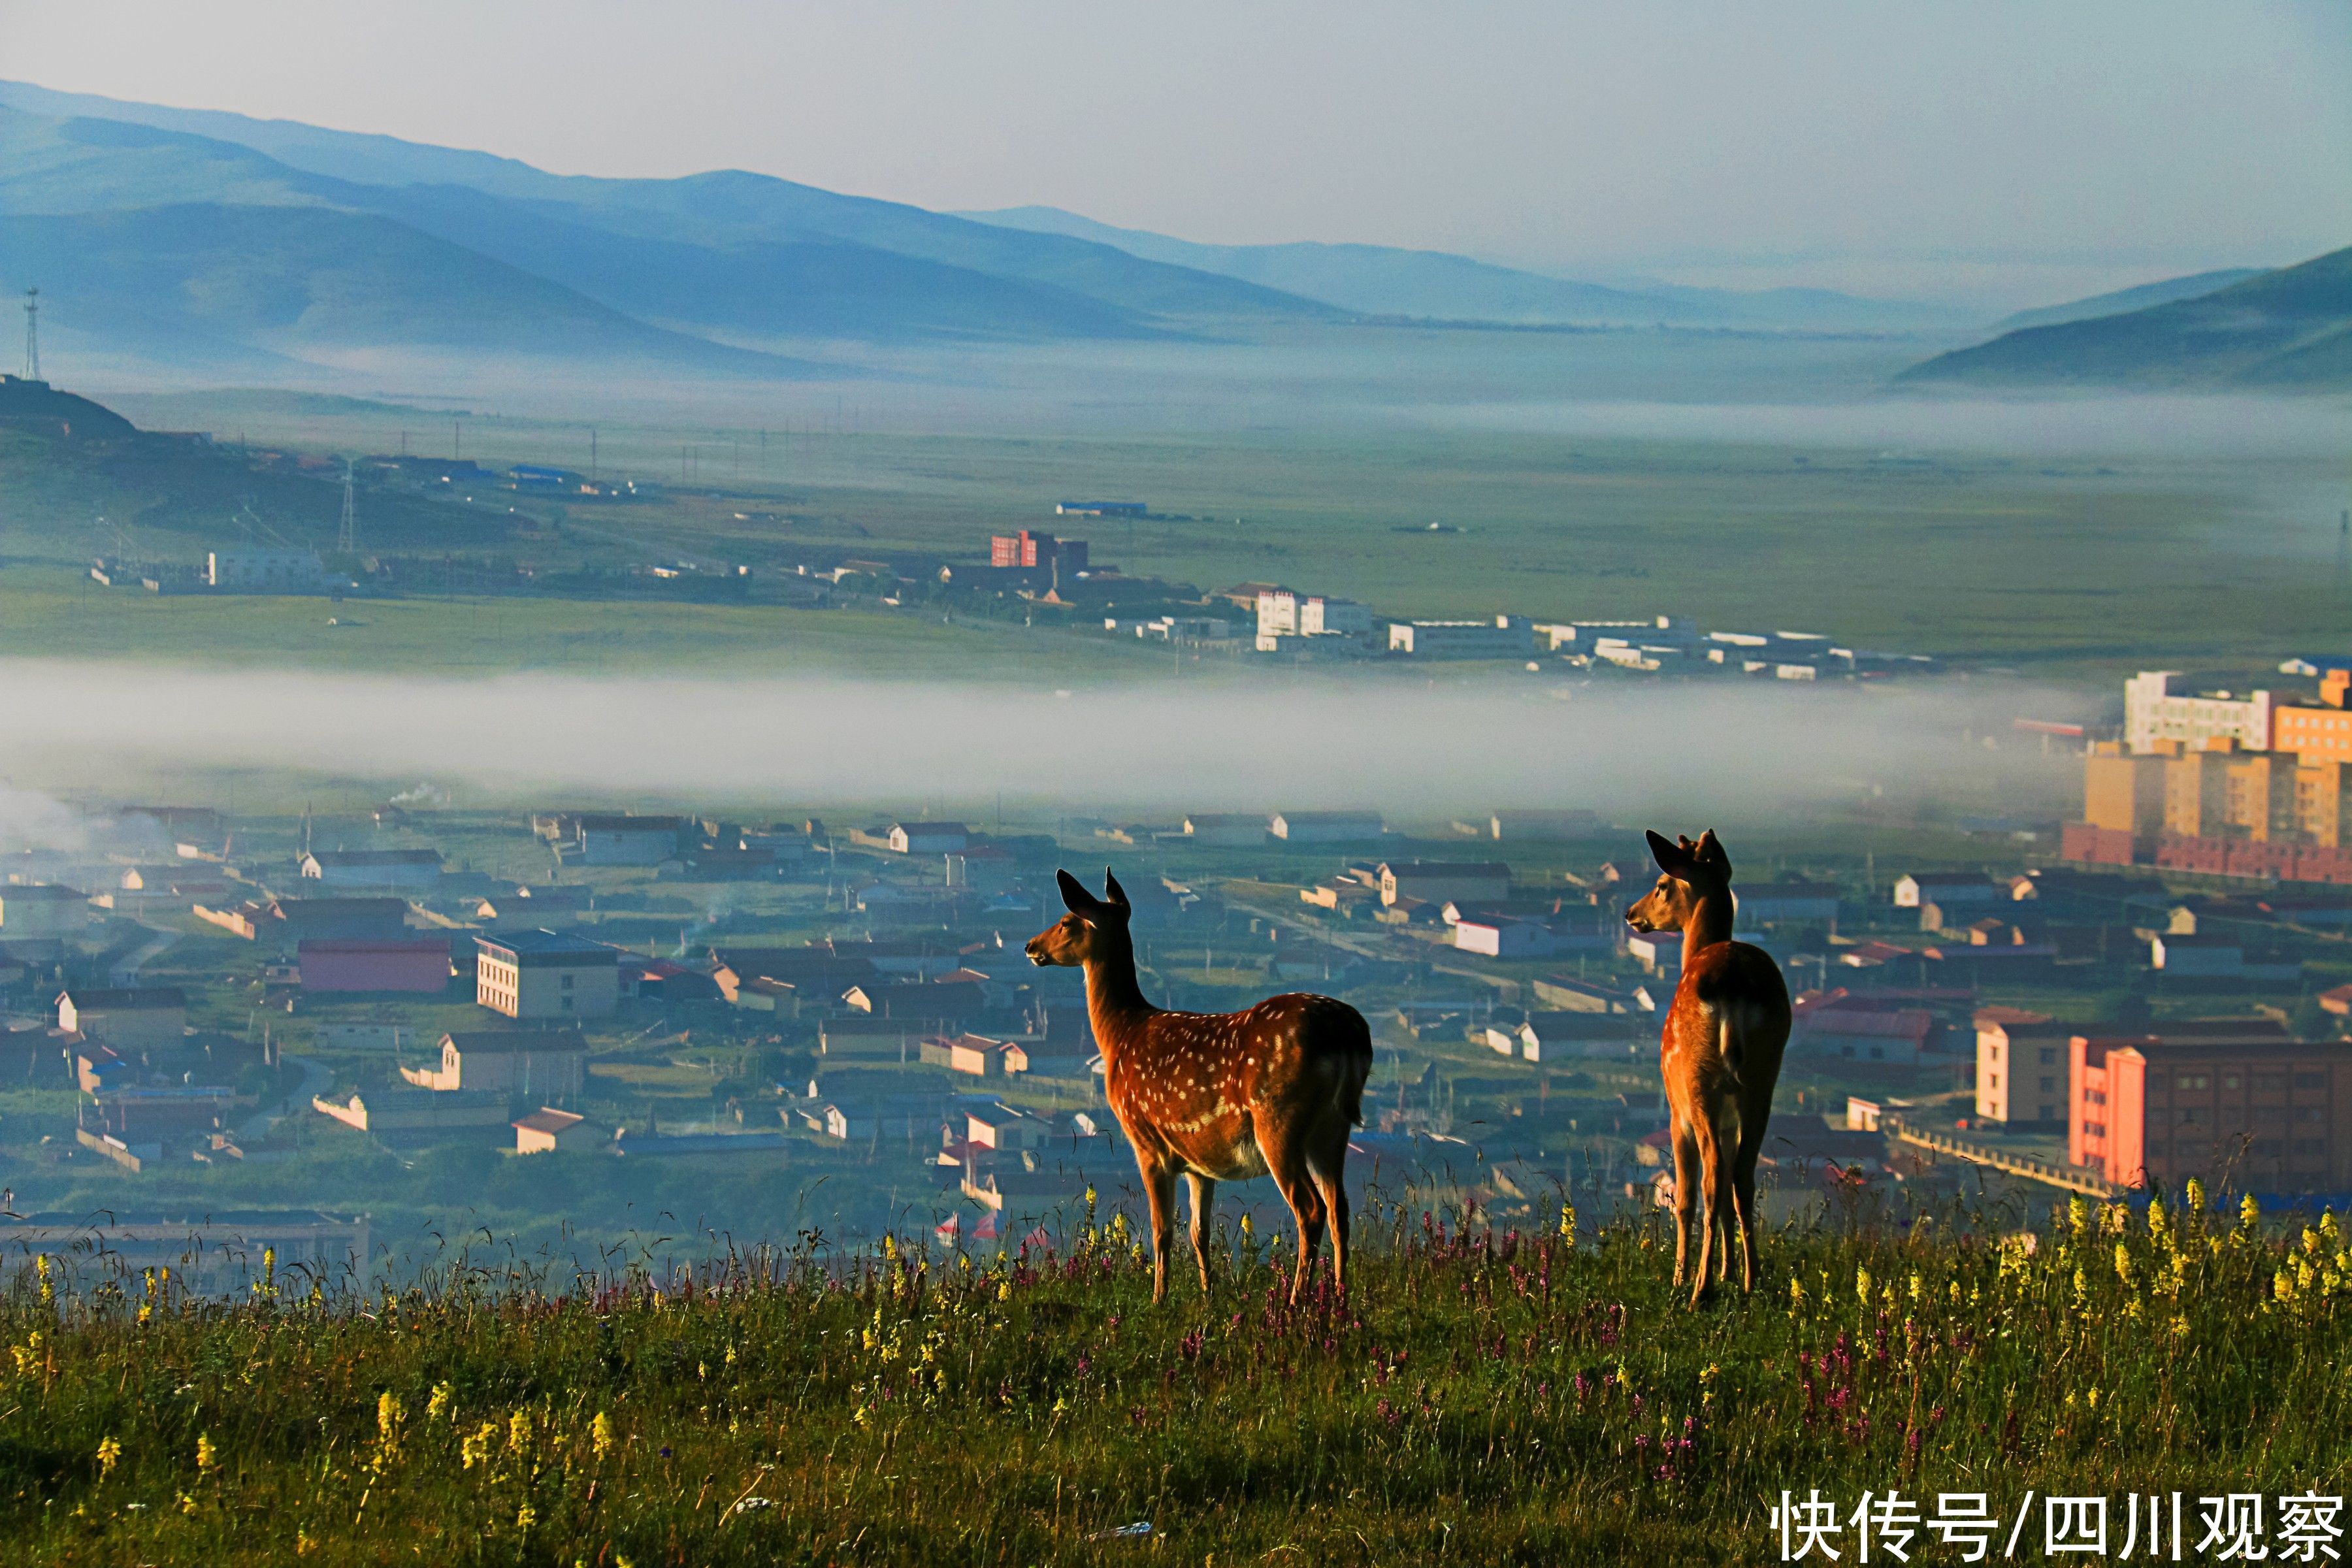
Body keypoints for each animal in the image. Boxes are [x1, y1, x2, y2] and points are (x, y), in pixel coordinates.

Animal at [1021, 870, 1373, 1298]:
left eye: (1066, 922)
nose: (1030, 946)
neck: (1121, 1035)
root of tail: (1348, 1035)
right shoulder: (1197, 1161)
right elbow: (1198, 1232)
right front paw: (1208, 1295)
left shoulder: (1147, 1141)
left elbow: (1162, 1231)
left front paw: (1159, 1297)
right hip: (1333, 1128)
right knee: (1340, 1208)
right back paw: (1338, 1297)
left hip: (1278, 1119)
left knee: (1310, 1208)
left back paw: (1296, 1301)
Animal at [1627, 832, 1788, 1316]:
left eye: (1662, 885)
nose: (1632, 913)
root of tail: (1732, 985)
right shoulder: (1733, 1116)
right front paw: (1729, 1272)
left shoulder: (1676, 1111)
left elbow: (1684, 1198)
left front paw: (1680, 1276)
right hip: (1762, 1080)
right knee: (1743, 1177)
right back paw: (1751, 1282)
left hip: (1699, 1084)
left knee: (1713, 1177)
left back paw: (1699, 1291)